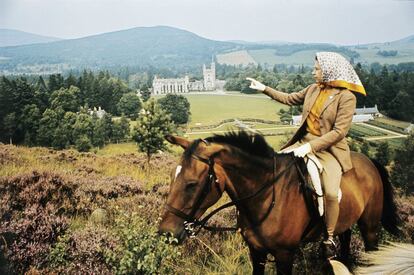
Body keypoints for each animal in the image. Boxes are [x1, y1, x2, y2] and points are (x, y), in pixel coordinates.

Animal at [158, 133, 402, 274]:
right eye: (171, 176)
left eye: (191, 184)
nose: (166, 234)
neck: (266, 197)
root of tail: (368, 161)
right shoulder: (256, 252)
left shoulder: (285, 255)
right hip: (345, 226)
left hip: (370, 228)